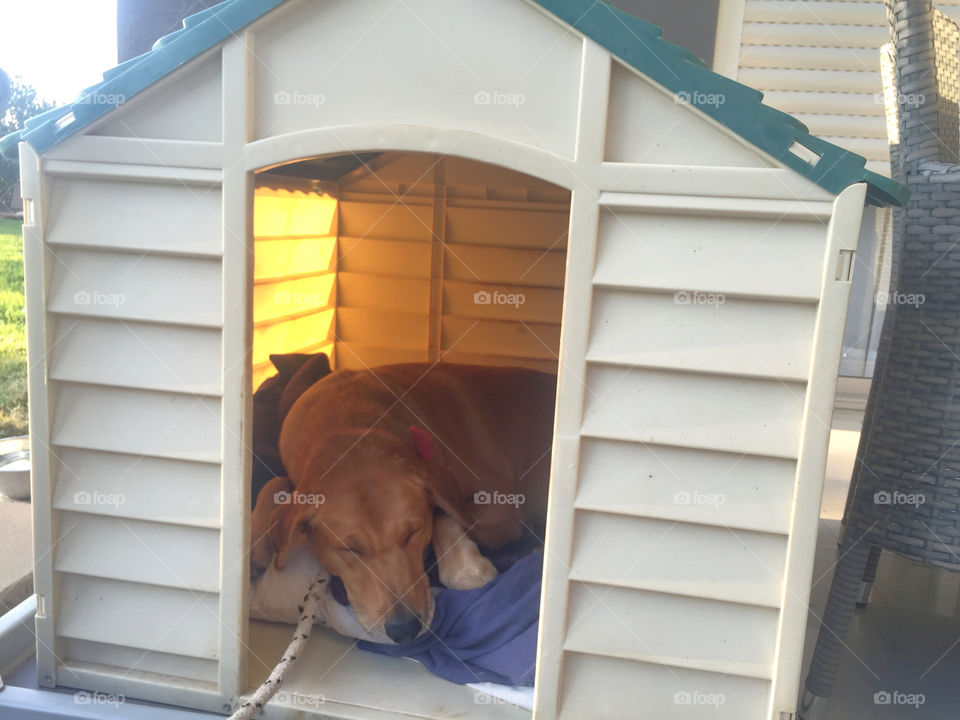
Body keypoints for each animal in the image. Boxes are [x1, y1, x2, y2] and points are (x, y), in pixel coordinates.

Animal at [251, 362, 560, 644]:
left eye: (413, 533)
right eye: (350, 549)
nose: (404, 630)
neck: (351, 429)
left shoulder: (502, 508)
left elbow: (444, 513)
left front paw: (469, 568)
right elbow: (275, 483)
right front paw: (256, 539)